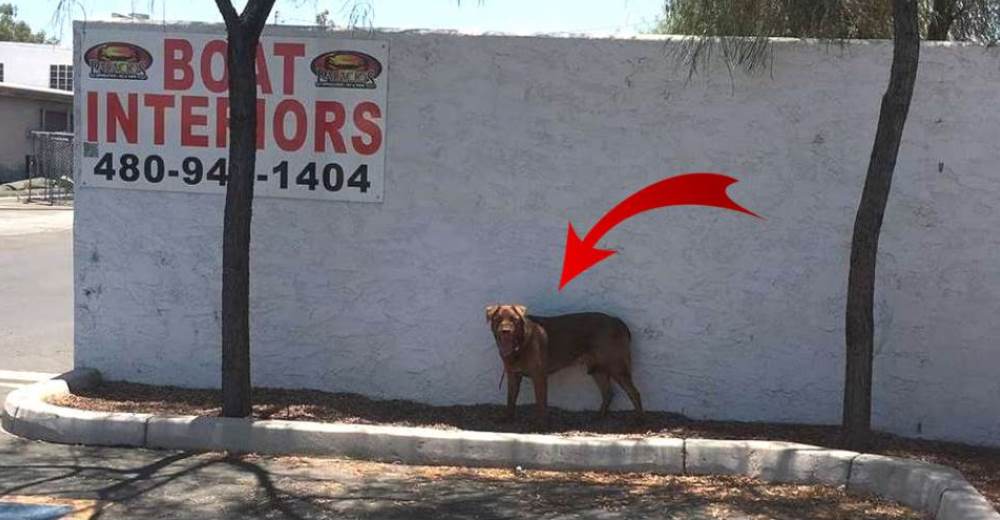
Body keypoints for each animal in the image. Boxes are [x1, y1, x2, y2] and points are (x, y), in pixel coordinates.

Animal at [486, 304, 644, 422]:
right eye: (497, 319)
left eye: (514, 319)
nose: (505, 331)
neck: (520, 344)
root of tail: (618, 321)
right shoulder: (513, 376)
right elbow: (510, 400)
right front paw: (507, 419)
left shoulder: (539, 376)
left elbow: (540, 403)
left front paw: (540, 425)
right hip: (598, 369)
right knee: (608, 393)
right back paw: (599, 416)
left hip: (617, 366)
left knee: (634, 393)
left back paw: (639, 420)